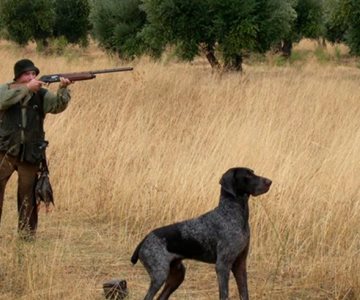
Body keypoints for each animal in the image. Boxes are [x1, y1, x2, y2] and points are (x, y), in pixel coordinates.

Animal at [131, 168, 272, 298]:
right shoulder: (223, 266)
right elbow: (224, 294)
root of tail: (145, 239)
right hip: (159, 275)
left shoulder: (240, 265)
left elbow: (244, 293)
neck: (233, 213)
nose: (269, 181)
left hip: (177, 275)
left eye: (253, 172)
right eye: (248, 175)